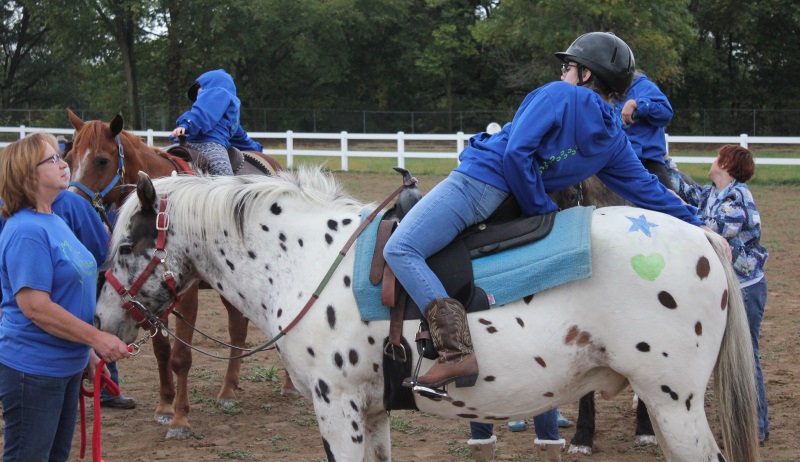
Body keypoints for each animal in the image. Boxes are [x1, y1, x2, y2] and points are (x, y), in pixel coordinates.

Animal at [63, 109, 294, 440]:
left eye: (102, 161)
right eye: (69, 159)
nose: (70, 203)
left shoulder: (186, 294)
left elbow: (181, 356)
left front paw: (180, 420)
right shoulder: (150, 296)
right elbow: (162, 351)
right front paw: (164, 407)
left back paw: (288, 385)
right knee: (237, 328)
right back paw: (228, 390)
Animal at [97, 170, 760, 462]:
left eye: (126, 245)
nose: (102, 324)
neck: (307, 259)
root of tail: (703, 238)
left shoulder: (336, 407)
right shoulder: (372, 410)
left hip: (675, 403)